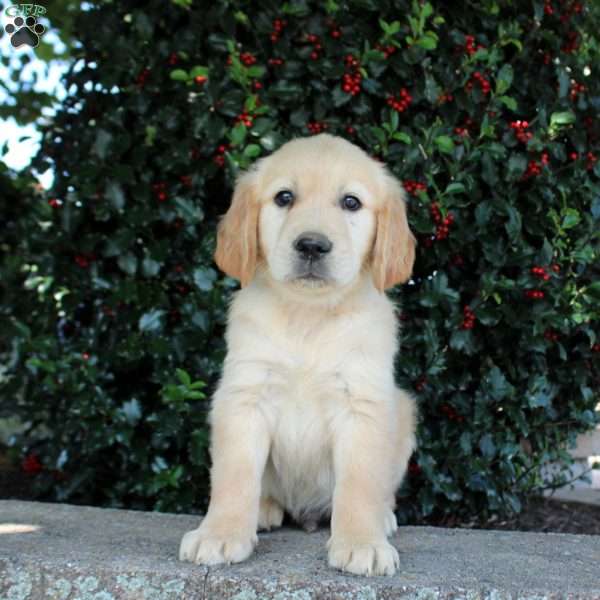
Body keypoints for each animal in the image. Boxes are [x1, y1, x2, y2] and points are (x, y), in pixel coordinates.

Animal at [179, 132, 418, 576]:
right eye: (284, 197)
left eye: (351, 202)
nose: (311, 245)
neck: (309, 316)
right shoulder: (245, 395)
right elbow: (234, 475)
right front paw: (219, 534)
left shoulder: (363, 404)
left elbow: (360, 483)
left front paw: (362, 543)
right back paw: (262, 509)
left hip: (405, 411)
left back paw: (383, 518)